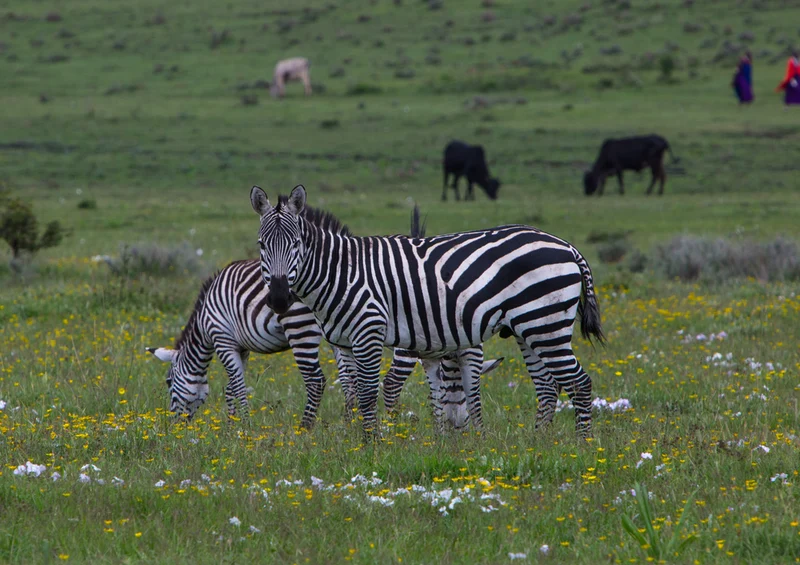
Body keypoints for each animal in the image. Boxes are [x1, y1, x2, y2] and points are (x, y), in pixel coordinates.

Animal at [250, 184, 605, 439]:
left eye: (295, 244)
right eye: (261, 245)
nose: (279, 300)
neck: (341, 272)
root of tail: (567, 246)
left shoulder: (368, 331)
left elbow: (367, 393)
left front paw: (372, 445)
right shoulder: (345, 343)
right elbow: (352, 392)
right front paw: (356, 441)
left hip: (546, 324)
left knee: (579, 383)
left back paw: (580, 445)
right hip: (528, 328)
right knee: (547, 386)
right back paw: (539, 443)